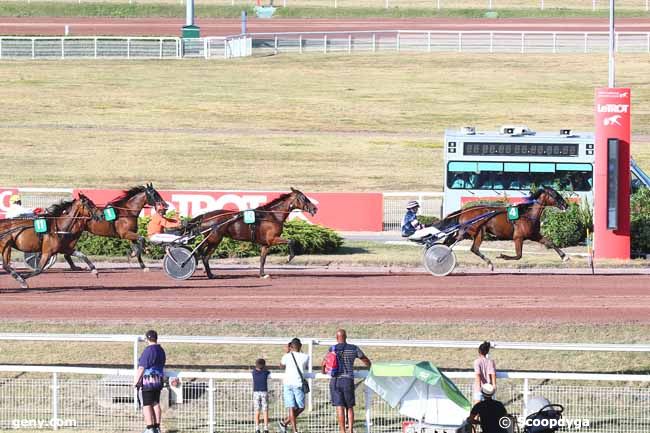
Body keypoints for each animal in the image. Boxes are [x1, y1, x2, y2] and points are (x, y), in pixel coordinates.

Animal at [186, 187, 318, 278]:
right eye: (303, 198)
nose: (315, 208)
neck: (273, 216)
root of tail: (205, 216)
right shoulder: (272, 239)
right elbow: (291, 240)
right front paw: (289, 257)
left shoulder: (266, 244)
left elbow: (262, 259)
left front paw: (262, 274)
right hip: (214, 239)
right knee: (203, 254)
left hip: (213, 240)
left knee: (203, 254)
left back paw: (209, 273)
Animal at [436, 186, 568, 270]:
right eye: (555, 194)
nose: (566, 205)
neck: (528, 215)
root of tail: (464, 211)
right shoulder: (518, 237)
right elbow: (519, 255)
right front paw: (502, 256)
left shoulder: (534, 235)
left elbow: (550, 243)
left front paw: (564, 256)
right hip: (473, 231)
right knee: (463, 246)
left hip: (473, 232)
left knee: (465, 246)